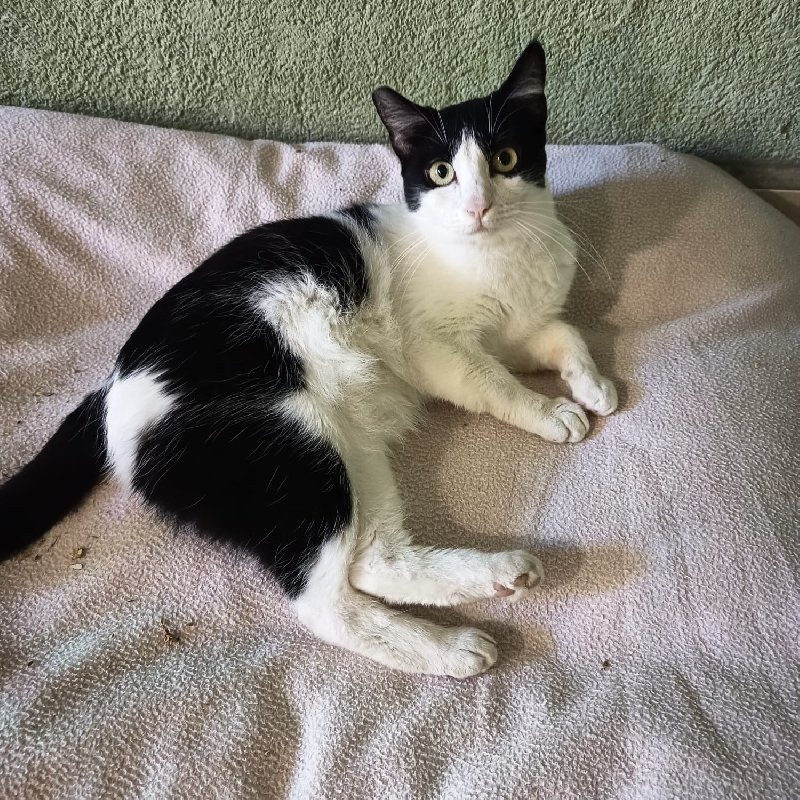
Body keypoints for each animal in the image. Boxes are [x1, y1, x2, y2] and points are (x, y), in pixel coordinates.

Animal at [0, 40, 616, 678]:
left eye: (505, 158)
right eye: (441, 173)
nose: (478, 208)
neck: (498, 257)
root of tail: (112, 389)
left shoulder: (517, 328)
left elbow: (562, 332)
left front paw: (591, 383)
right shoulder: (437, 348)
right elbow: (491, 380)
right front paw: (550, 412)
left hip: (349, 443)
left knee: (376, 559)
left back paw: (492, 578)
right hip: (294, 443)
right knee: (325, 603)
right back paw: (450, 647)